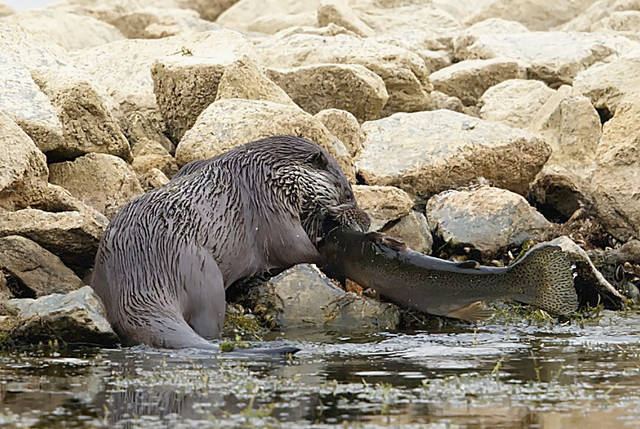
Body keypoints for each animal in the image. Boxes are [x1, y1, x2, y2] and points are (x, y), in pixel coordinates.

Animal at [91, 135, 370, 350]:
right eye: (348, 193)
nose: (365, 218)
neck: (268, 174)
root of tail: (139, 277)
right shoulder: (270, 209)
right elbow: (300, 250)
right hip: (201, 273)